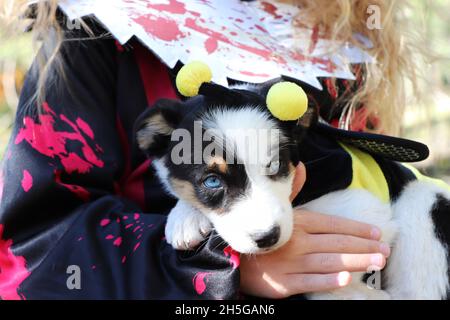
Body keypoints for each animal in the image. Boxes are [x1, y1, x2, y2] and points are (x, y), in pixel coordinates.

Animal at [135, 83, 448, 300]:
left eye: (275, 164)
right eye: (212, 182)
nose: (267, 238)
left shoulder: (365, 214)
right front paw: (184, 218)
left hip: (422, 201)